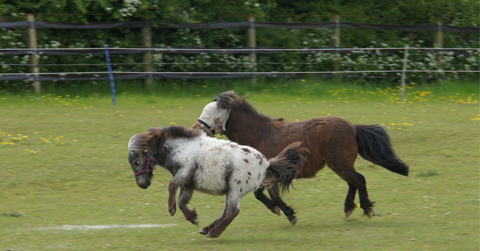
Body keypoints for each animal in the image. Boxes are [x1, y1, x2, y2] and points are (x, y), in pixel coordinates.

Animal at [126, 126, 300, 238]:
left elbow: (171, 187)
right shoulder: (187, 184)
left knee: (232, 212)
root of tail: (266, 163)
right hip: (232, 191)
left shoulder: (184, 172)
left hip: (235, 189)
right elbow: (182, 202)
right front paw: (193, 217)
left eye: (136, 161)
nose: (142, 184)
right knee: (227, 212)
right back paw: (208, 228)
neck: (180, 149)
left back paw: (213, 232)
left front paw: (171, 208)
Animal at [191, 91, 408, 225]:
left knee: (359, 180)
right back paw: (348, 208)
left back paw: (367, 209)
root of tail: (353, 128)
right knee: (353, 182)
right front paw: (282, 211)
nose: (195, 129)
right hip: (341, 165)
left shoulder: (269, 174)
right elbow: (264, 195)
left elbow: (265, 195)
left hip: (340, 164)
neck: (259, 134)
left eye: (213, 111)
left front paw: (287, 213)